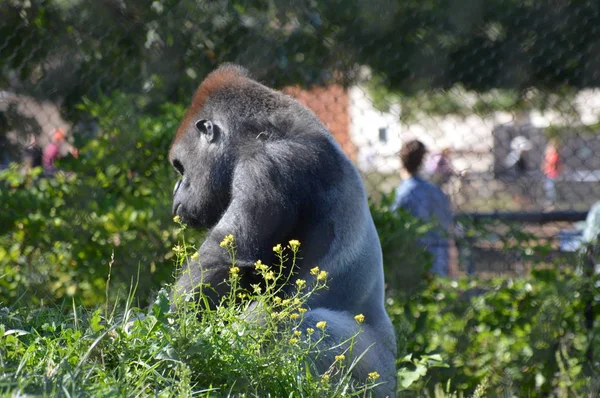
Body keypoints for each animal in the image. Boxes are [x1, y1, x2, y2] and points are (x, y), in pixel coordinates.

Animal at [166, 64, 396, 394]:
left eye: (180, 167)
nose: (175, 190)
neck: (265, 133)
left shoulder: (268, 165)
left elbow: (224, 262)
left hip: (377, 376)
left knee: (307, 323)